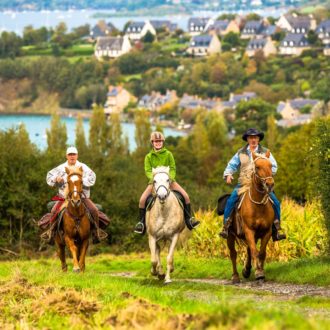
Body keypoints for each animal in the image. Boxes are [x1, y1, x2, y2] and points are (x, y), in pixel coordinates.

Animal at [228, 152, 274, 284]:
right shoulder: (249, 230)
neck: (258, 206)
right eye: (257, 167)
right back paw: (235, 276)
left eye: (271, 165)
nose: (270, 184)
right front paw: (258, 272)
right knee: (233, 254)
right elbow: (254, 251)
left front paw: (261, 272)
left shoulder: (267, 232)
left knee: (248, 250)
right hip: (230, 235)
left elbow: (261, 253)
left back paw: (247, 270)